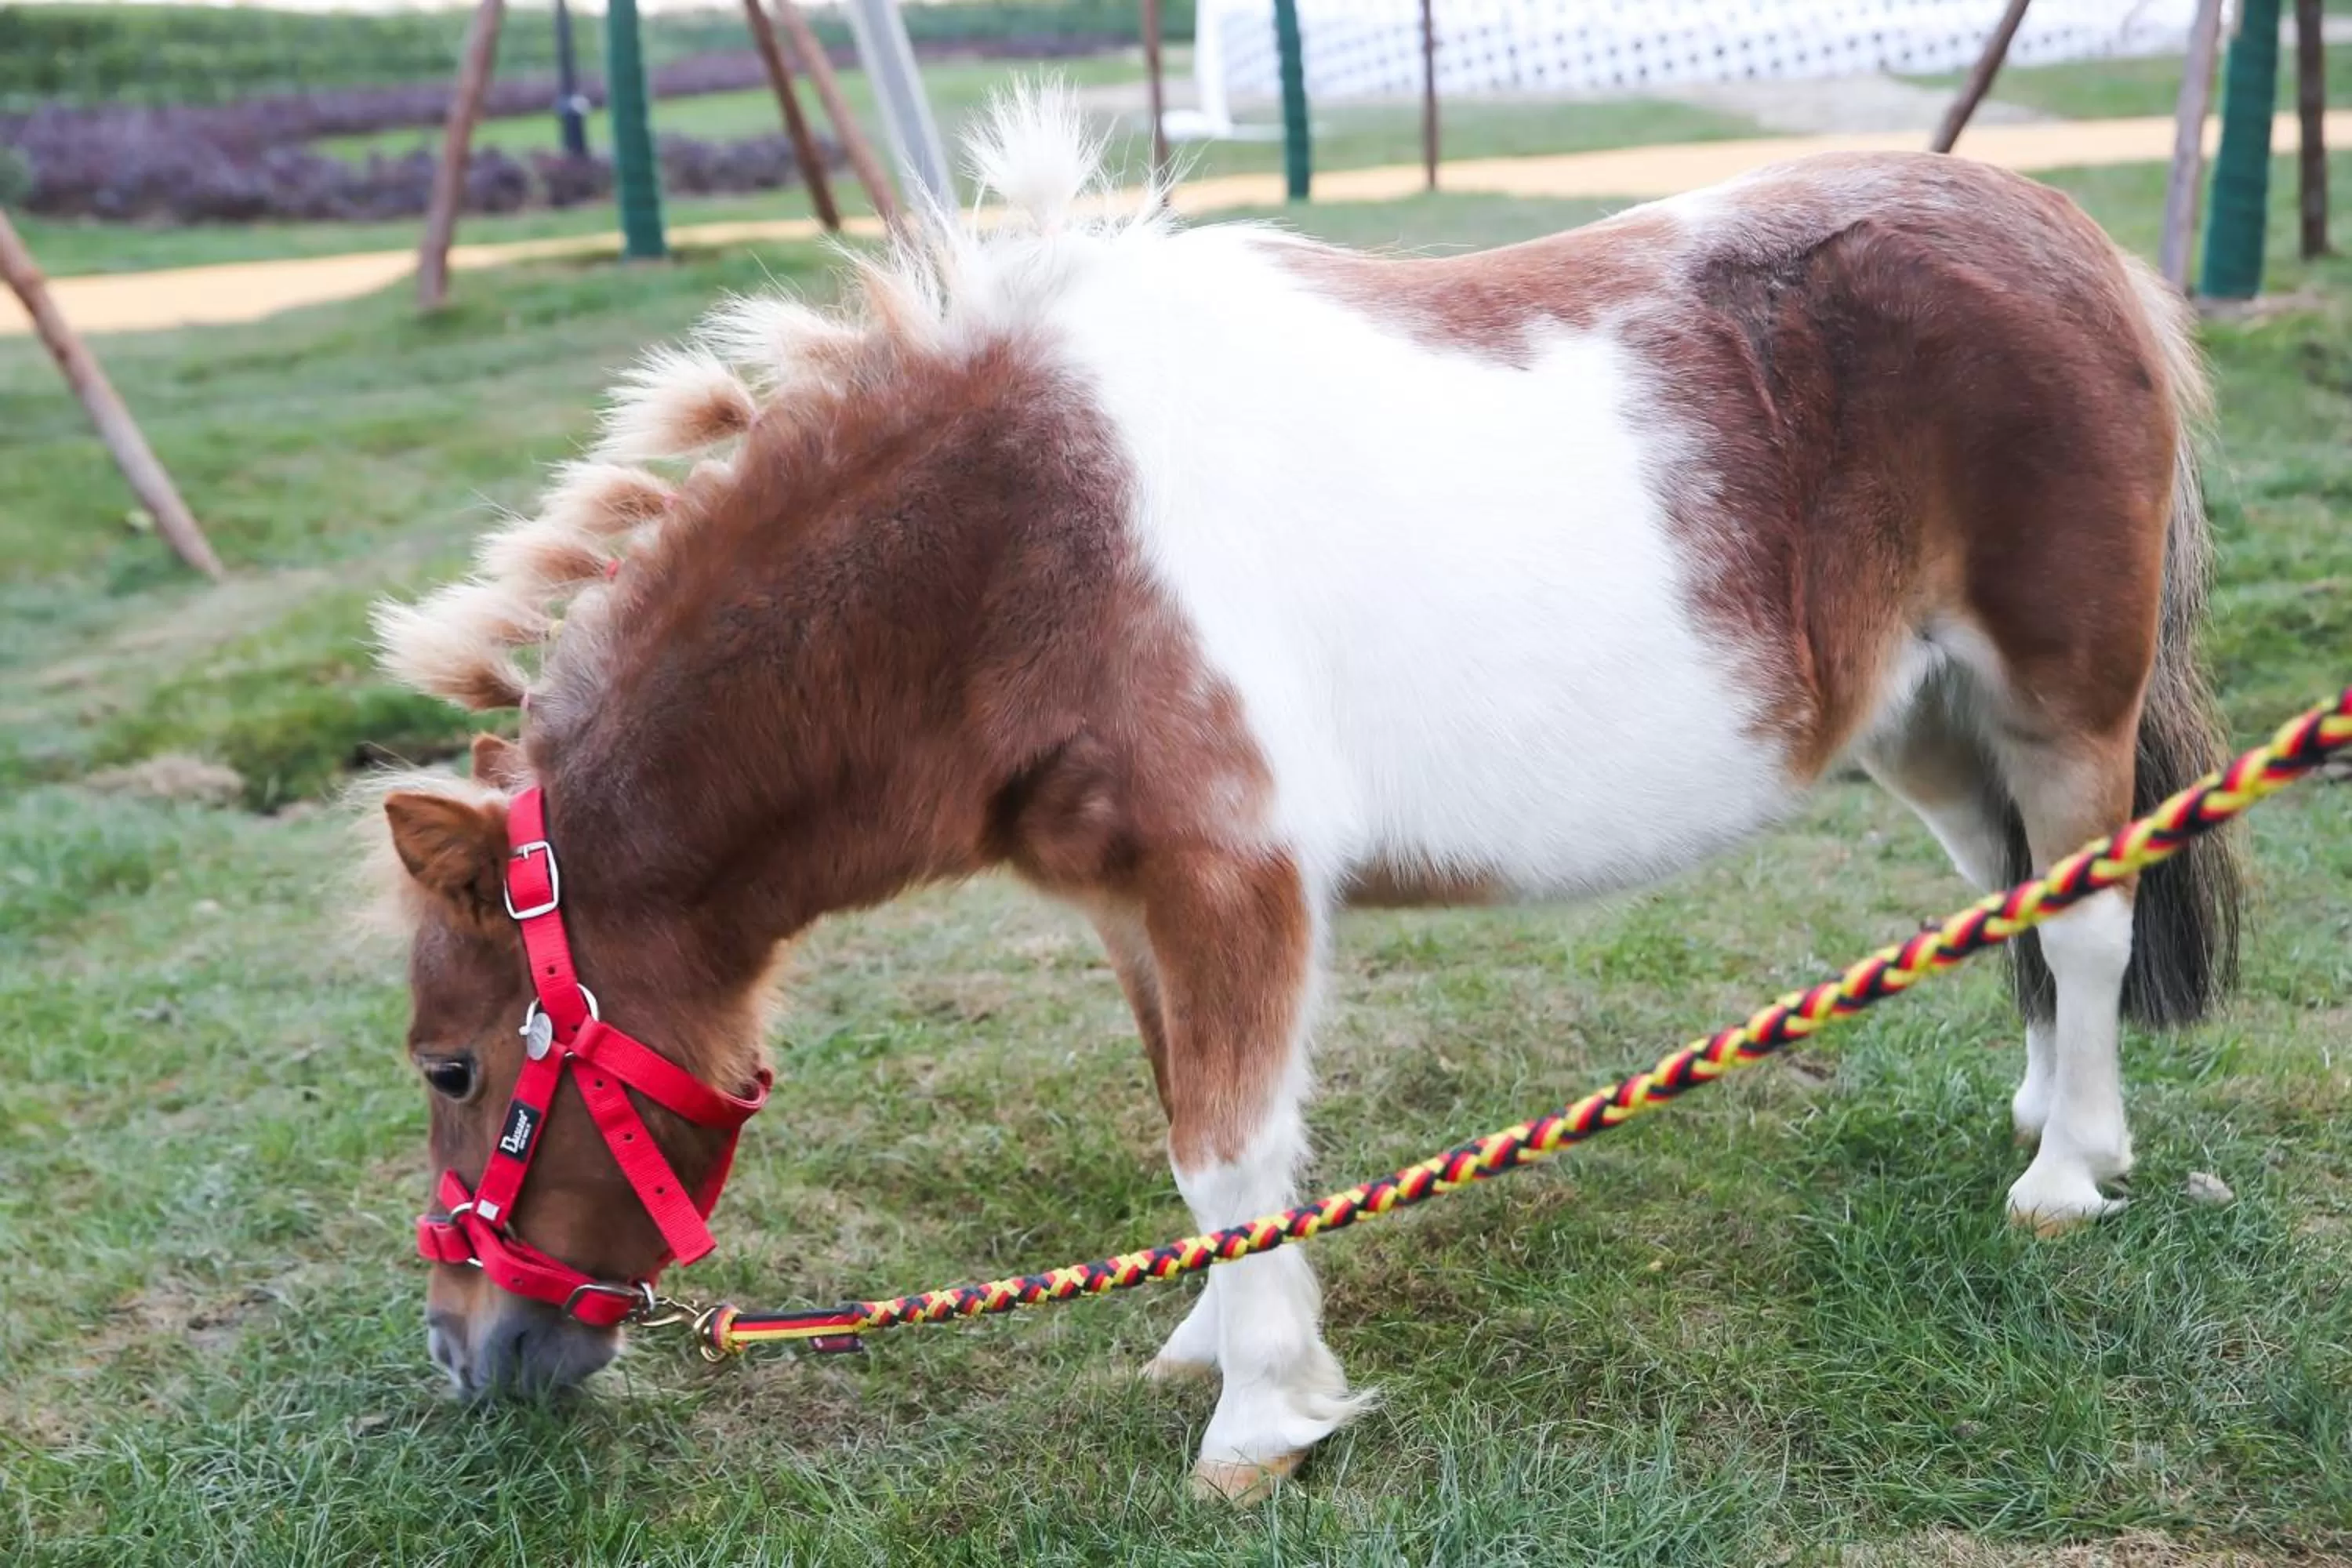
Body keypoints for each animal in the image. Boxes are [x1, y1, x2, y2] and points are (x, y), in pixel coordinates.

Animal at [367, 86, 2241, 1500]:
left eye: (454, 1067)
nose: (468, 1353)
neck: (1024, 548)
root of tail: (2070, 243)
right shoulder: (1132, 905)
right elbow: (1195, 1135)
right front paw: (1214, 1338)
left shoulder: (1230, 883)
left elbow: (1223, 1141)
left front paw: (1260, 1421)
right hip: (1924, 723)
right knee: (2011, 897)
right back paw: (2045, 1111)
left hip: (2058, 700)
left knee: (2087, 921)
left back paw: (2068, 1173)